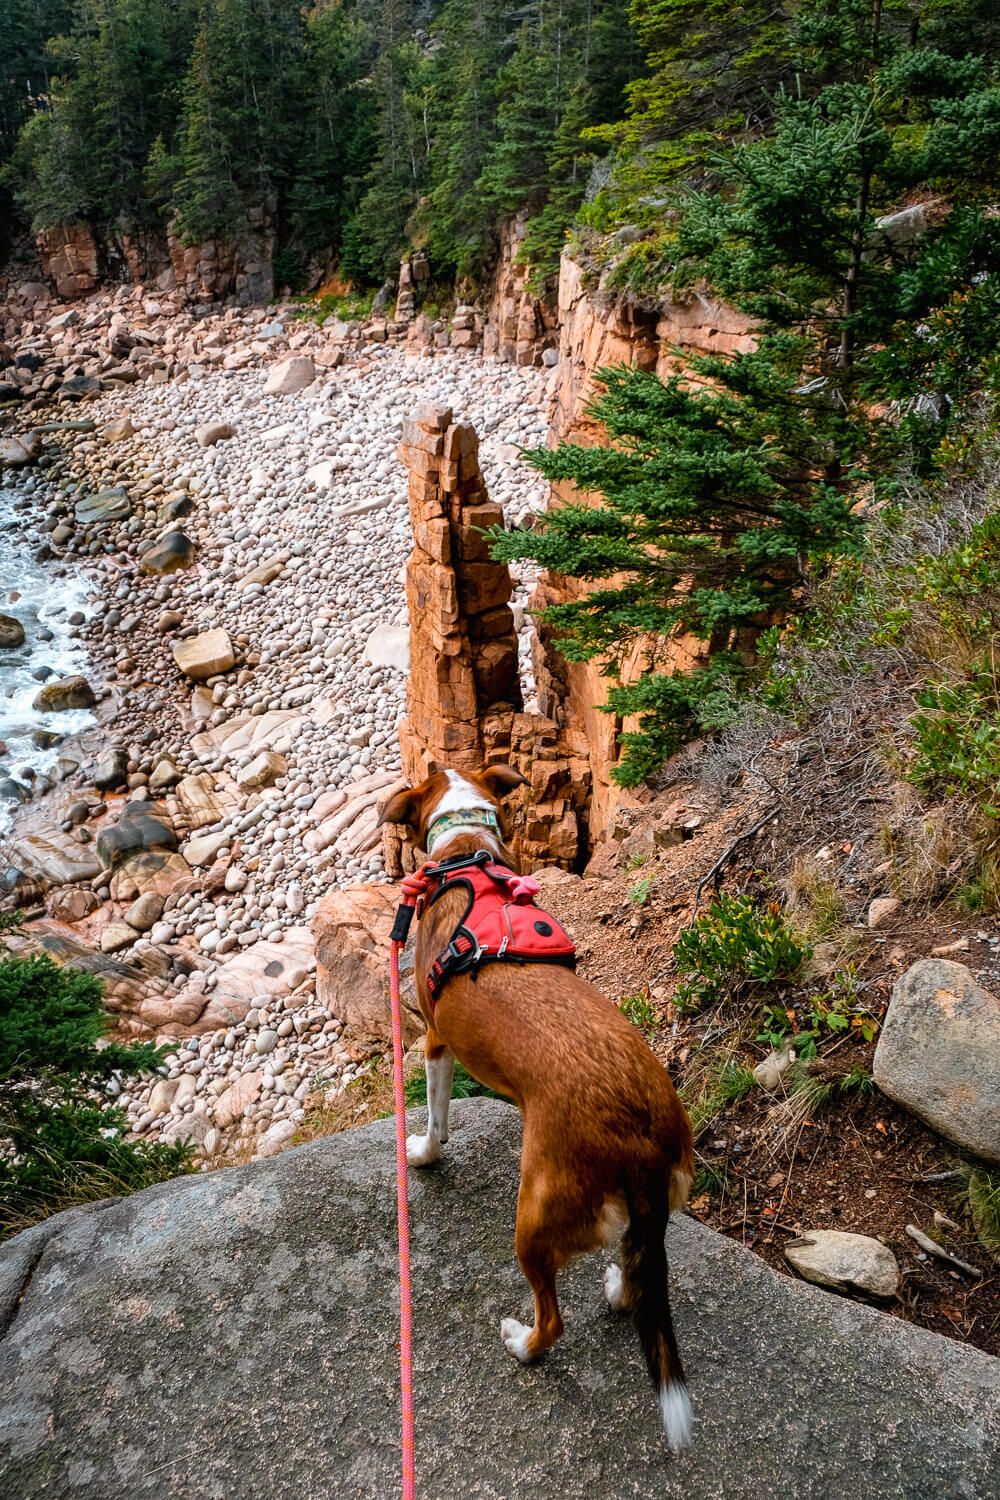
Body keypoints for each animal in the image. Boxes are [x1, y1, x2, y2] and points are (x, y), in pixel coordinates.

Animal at [377, 768, 695, 1446]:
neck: (465, 851)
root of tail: (637, 1133)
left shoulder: (436, 1041)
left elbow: (437, 1118)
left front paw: (422, 1153)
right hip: (648, 1205)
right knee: (636, 1273)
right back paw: (618, 1286)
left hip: (534, 1216)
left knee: (553, 1320)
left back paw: (523, 1344)